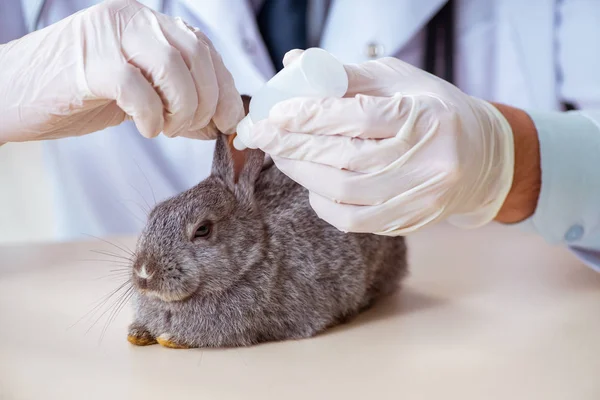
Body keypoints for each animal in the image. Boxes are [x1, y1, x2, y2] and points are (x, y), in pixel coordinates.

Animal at [126, 97, 408, 350]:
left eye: (203, 230)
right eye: (154, 214)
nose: (144, 273)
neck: (253, 257)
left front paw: (170, 337)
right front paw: (138, 333)